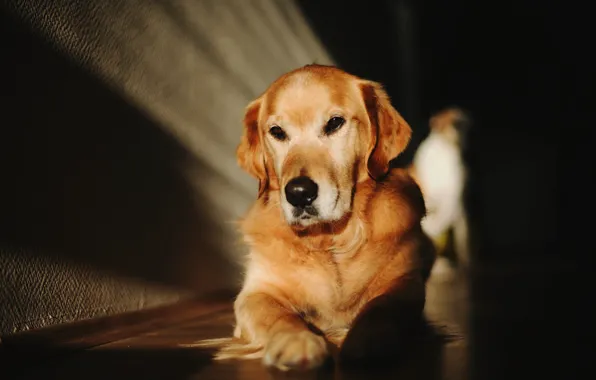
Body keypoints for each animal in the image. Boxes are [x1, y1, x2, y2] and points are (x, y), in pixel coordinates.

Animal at [189, 64, 436, 372]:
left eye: (334, 123)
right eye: (277, 131)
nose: (299, 193)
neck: (329, 241)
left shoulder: (405, 283)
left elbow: (382, 308)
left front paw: (365, 337)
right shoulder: (256, 293)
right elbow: (278, 315)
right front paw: (297, 341)